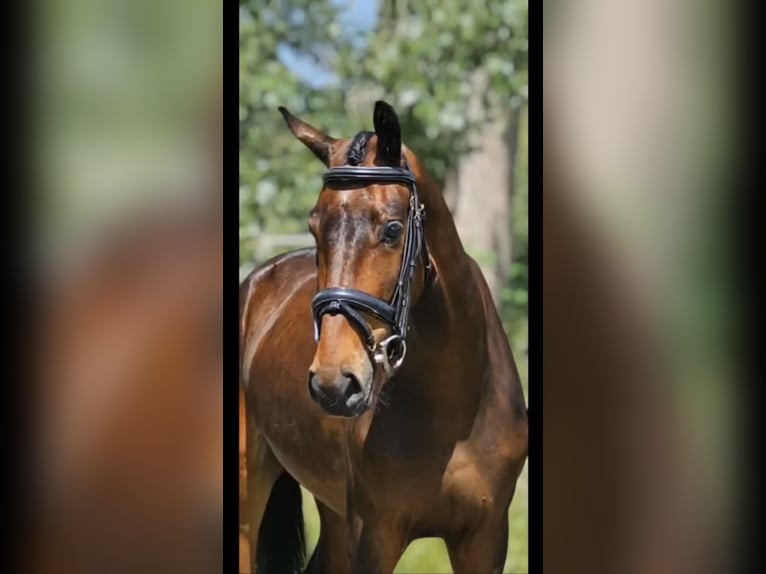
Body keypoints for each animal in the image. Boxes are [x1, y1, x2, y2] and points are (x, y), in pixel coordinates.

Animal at [240, 100, 528, 573]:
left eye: (392, 229)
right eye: (314, 228)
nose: (334, 383)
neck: (454, 409)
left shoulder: (485, 538)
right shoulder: (375, 534)